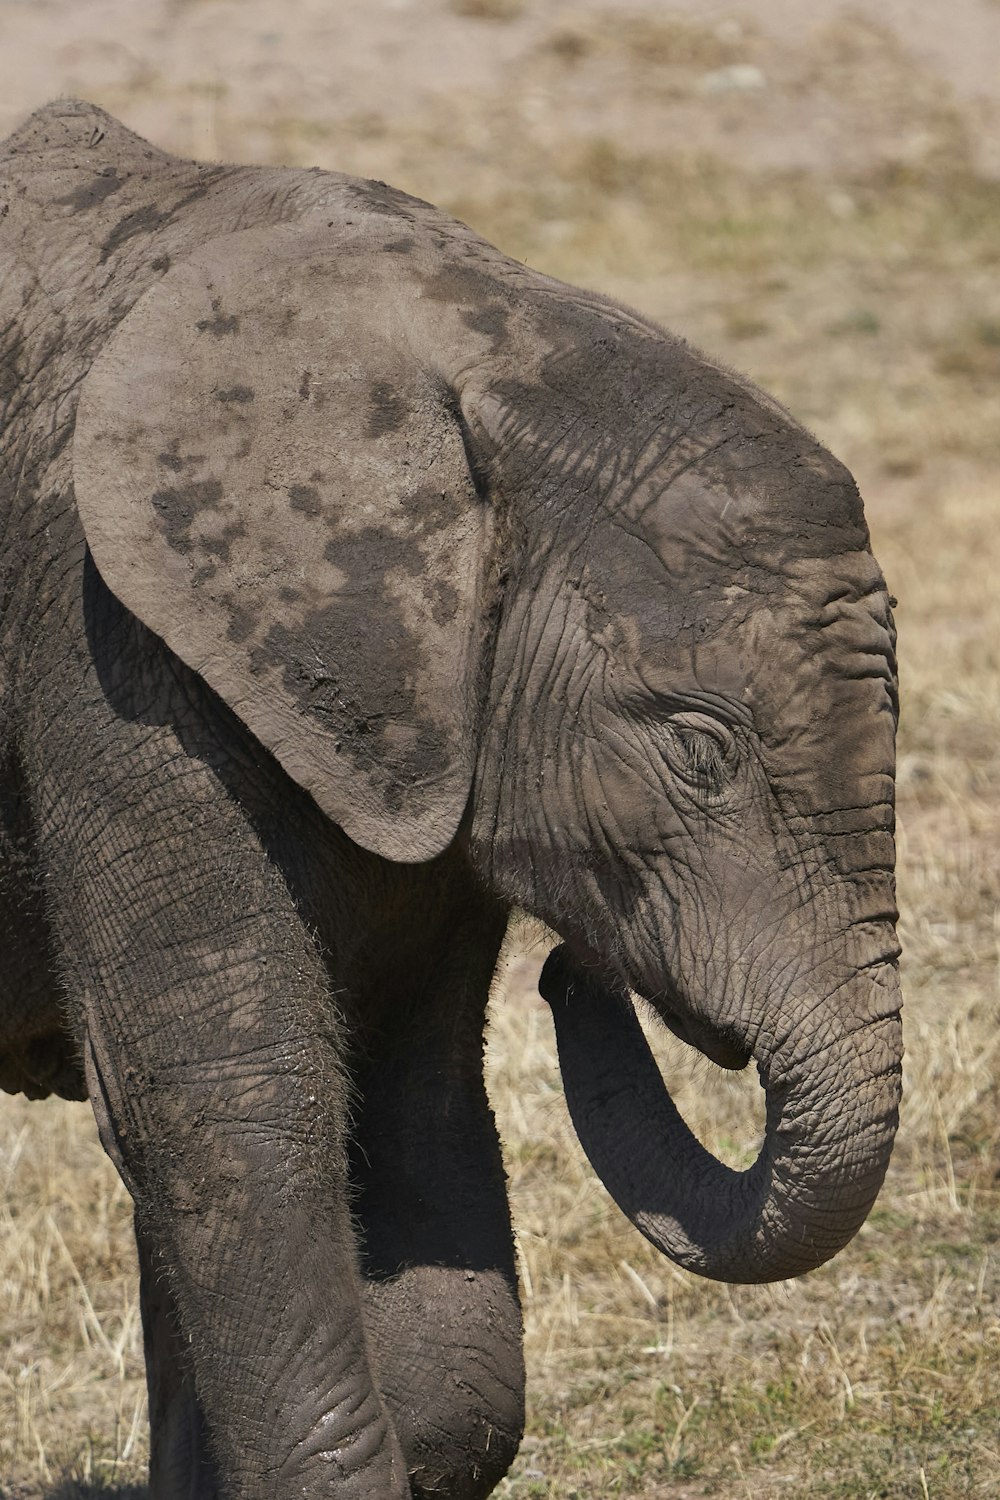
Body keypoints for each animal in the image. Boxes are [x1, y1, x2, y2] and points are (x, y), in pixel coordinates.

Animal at [0, 102, 905, 1500]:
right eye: (698, 753)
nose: (574, 973)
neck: (477, 353)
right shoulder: (112, 651)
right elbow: (229, 1103)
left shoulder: (421, 742)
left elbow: (412, 1096)